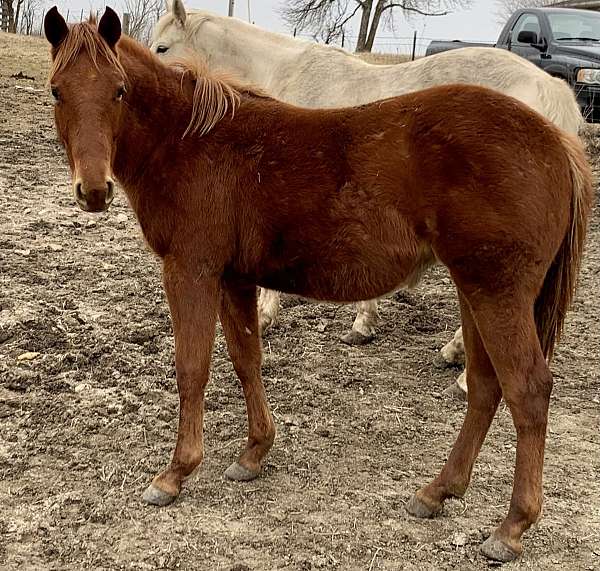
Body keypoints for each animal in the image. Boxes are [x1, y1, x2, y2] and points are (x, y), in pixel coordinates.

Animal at [152, 1, 584, 398]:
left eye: (161, 47)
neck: (285, 75)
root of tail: (551, 93)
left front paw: (266, 313)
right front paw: (363, 324)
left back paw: (463, 375)